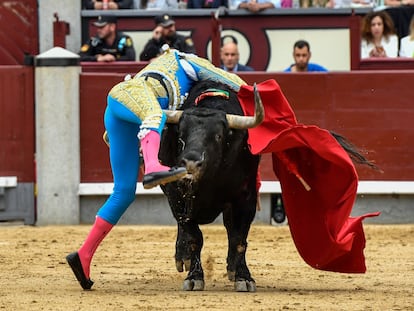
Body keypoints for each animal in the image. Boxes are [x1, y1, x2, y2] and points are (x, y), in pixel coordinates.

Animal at [160, 81, 264, 292]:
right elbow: (194, 237)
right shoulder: (175, 195)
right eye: (181, 135)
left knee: (231, 229)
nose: (191, 163)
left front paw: (243, 277)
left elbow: (239, 238)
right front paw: (194, 277)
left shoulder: (246, 197)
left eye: (218, 136)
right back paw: (183, 258)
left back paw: (232, 268)